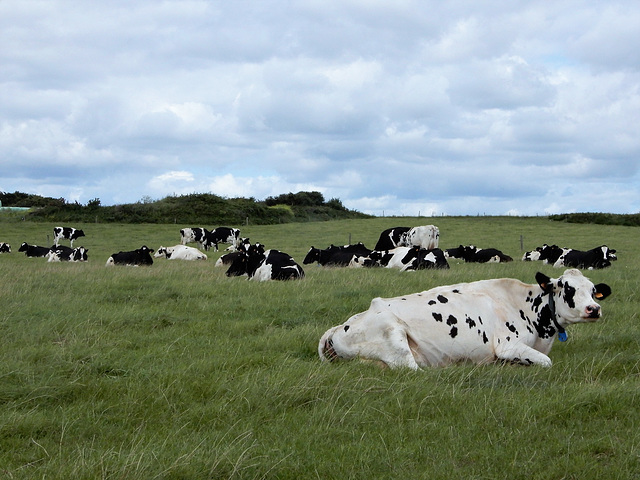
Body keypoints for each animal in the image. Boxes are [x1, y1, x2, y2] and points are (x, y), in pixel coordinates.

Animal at [318, 268, 608, 370]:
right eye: (567, 288)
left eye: (594, 290)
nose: (593, 309)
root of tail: (338, 327)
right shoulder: (508, 345)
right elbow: (546, 363)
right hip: (394, 335)